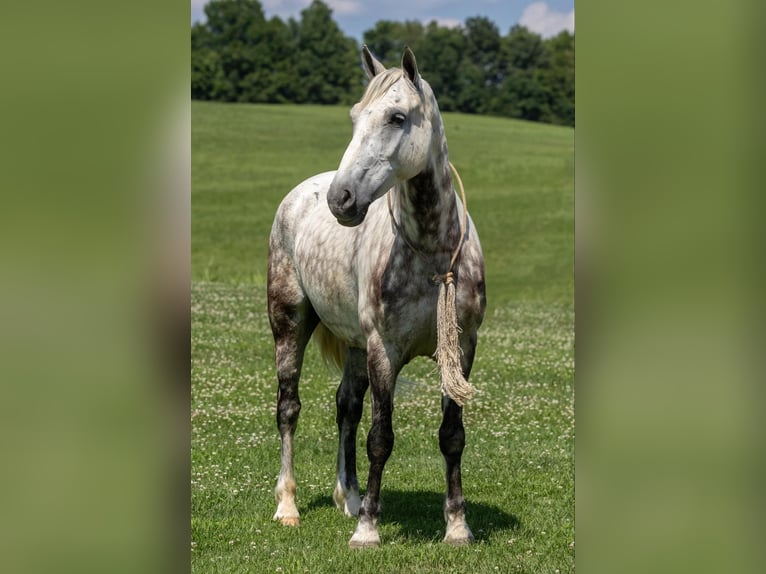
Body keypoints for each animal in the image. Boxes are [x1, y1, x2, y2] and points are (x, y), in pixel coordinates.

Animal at [267, 46, 486, 547]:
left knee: (345, 406)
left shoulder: (461, 348)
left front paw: (457, 525)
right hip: (290, 324)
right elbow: (380, 438)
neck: (431, 255)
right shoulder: (384, 351)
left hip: (353, 345)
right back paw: (289, 506)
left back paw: (347, 497)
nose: (341, 199)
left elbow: (452, 435)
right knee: (288, 409)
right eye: (354, 116)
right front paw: (368, 528)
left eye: (396, 117)